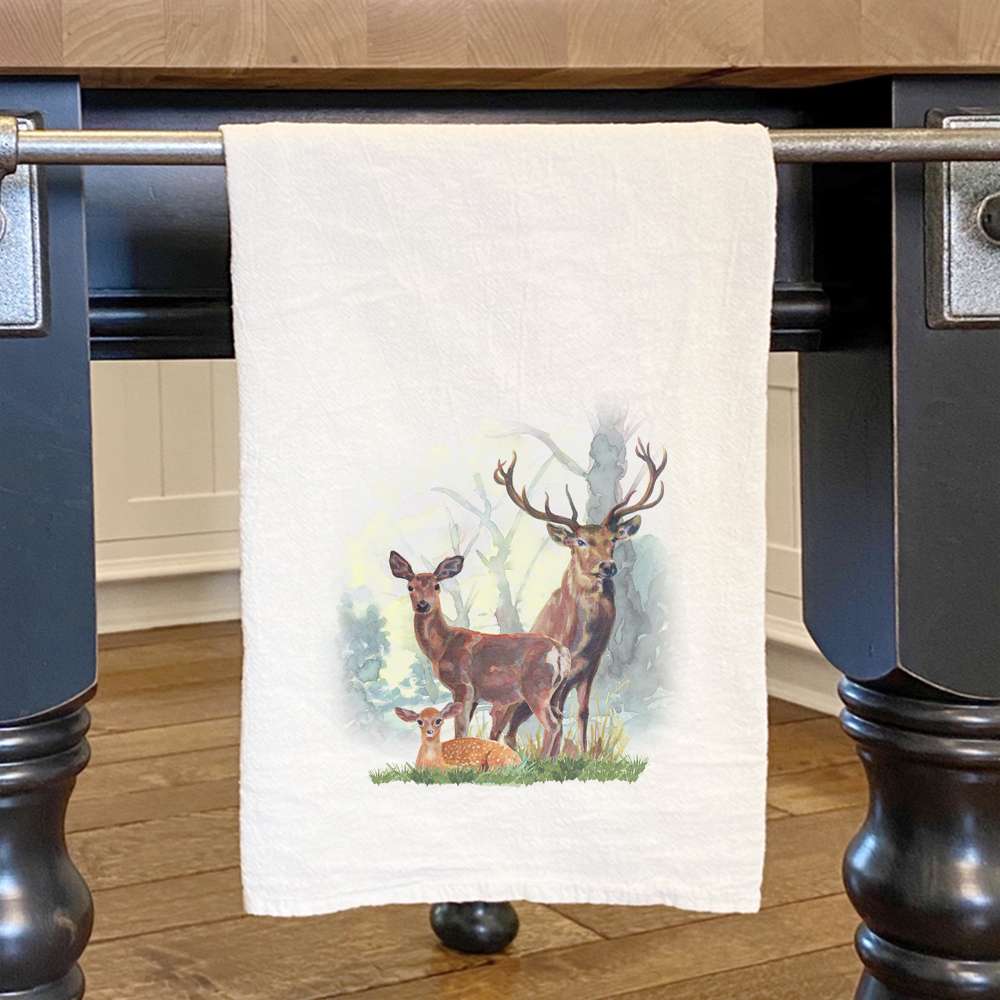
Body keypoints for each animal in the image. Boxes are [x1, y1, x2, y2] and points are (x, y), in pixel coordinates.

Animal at [388, 551, 571, 756]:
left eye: (436, 586)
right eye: (410, 587)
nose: (422, 604)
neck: (441, 647)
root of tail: (561, 652)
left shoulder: (463, 685)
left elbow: (460, 728)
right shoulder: (475, 695)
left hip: (537, 688)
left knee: (552, 724)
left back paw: (542, 759)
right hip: (556, 690)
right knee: (560, 719)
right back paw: (553, 759)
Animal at [493, 439, 667, 754]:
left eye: (613, 540)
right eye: (581, 541)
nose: (608, 566)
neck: (581, 640)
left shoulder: (591, 666)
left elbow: (582, 712)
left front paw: (583, 755)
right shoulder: (562, 675)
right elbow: (559, 715)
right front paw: (555, 757)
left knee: (512, 731)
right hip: (511, 699)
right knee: (501, 726)